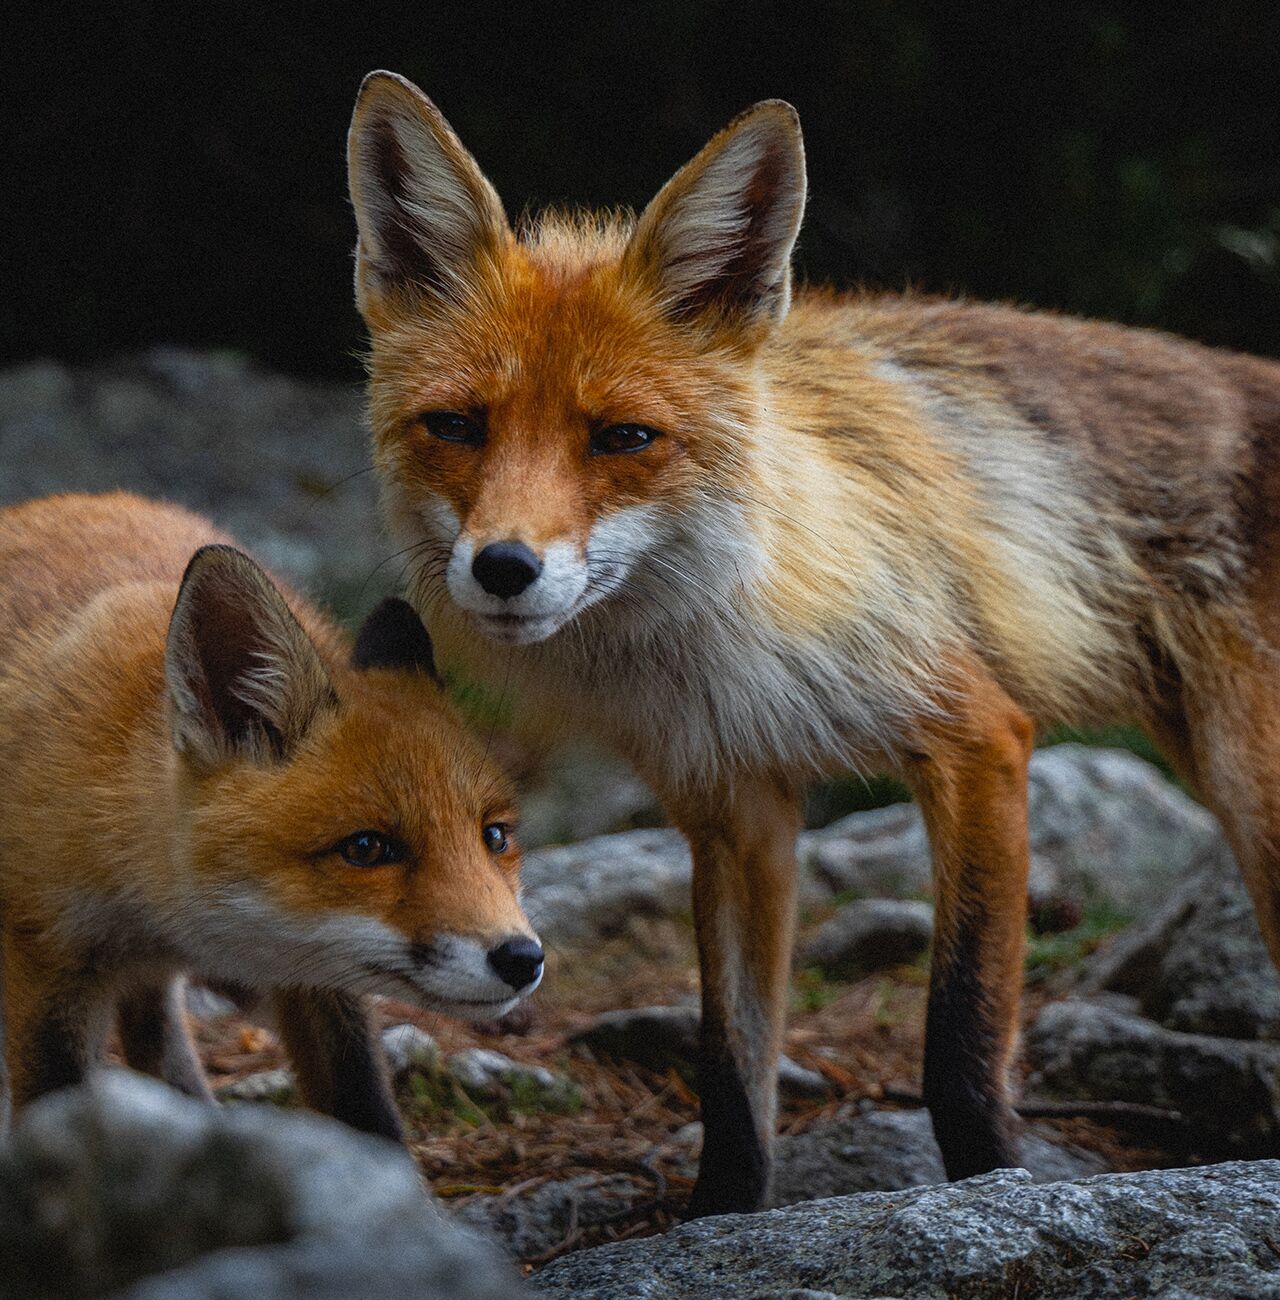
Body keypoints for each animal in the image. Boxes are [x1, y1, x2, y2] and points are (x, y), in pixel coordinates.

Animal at [0, 491, 543, 1144]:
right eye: (367, 848)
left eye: (495, 837)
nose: (522, 958)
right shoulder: (47, 959)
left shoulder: (319, 984)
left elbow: (366, 1111)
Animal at [345, 68, 1278, 1206]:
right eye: (457, 426)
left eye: (622, 438)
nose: (503, 567)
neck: (723, 636)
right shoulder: (734, 806)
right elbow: (732, 1070)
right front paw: (719, 1217)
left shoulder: (976, 738)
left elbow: (959, 1045)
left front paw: (991, 1190)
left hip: (1248, 791)